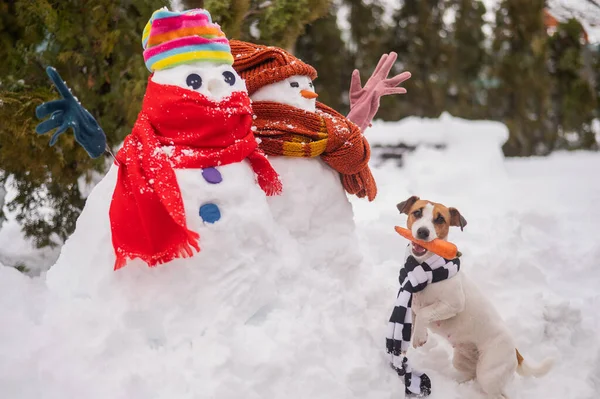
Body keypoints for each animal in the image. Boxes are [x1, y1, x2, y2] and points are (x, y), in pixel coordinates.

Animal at [396, 198, 552, 399]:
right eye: (417, 213)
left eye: (440, 219)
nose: (423, 232)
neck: (424, 269)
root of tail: (515, 350)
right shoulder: (412, 308)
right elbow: (414, 320)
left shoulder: (454, 304)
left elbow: (425, 312)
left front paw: (420, 337)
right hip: (463, 360)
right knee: (471, 375)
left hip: (489, 373)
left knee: (499, 394)